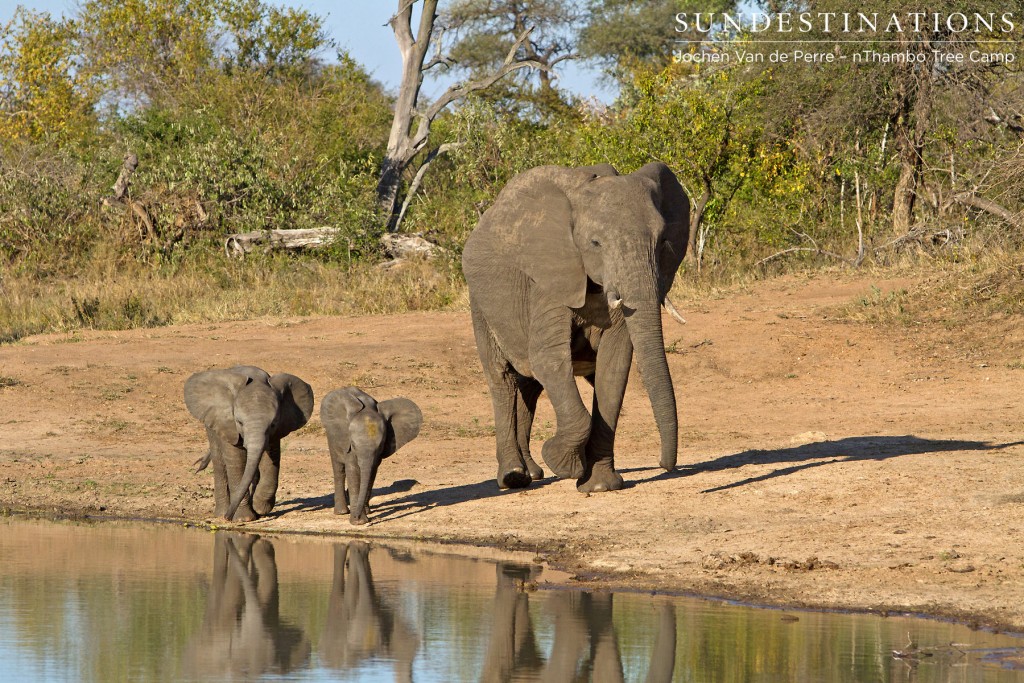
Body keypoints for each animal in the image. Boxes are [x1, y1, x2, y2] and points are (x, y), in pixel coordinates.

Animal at [184, 366, 311, 520]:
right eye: (239, 422)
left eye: (273, 424)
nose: (227, 517)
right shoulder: (228, 425)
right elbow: (237, 460)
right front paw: (244, 518)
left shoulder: (277, 430)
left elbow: (271, 459)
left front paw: (260, 508)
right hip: (212, 427)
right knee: (219, 462)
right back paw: (220, 513)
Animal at [319, 387, 419, 528]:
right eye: (353, 444)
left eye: (381, 445)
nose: (356, 516)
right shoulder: (348, 443)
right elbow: (353, 471)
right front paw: (359, 522)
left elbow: (371, 471)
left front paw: (361, 518)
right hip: (332, 436)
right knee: (338, 468)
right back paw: (341, 512)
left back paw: (365, 510)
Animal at [462, 161, 688, 491]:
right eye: (595, 243)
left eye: (662, 242)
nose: (665, 466)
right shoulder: (550, 277)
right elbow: (547, 358)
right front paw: (564, 463)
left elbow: (614, 366)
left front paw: (599, 486)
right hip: (480, 303)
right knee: (502, 378)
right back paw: (514, 477)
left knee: (529, 385)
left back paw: (532, 473)